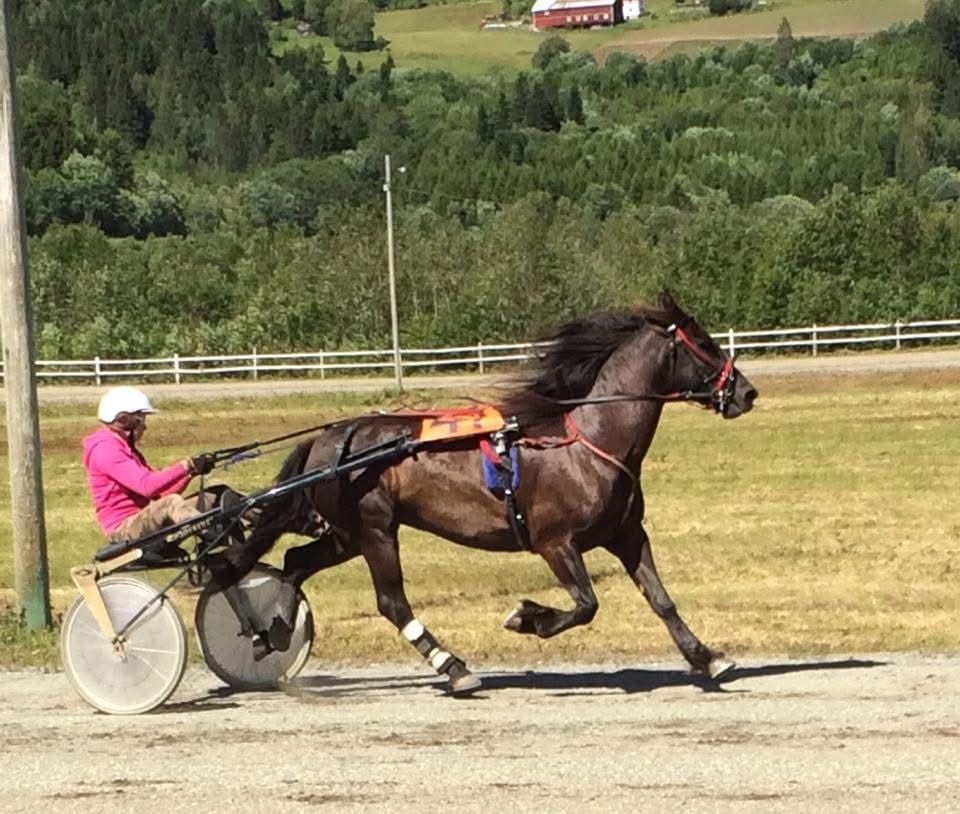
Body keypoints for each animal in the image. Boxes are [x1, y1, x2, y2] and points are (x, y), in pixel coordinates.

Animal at [212, 291, 758, 694]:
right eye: (705, 343)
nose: (746, 391)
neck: (590, 441)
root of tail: (329, 438)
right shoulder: (554, 542)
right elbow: (585, 604)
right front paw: (527, 617)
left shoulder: (625, 533)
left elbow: (661, 600)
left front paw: (708, 657)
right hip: (374, 529)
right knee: (391, 601)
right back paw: (452, 667)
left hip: (347, 533)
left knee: (296, 562)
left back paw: (274, 633)